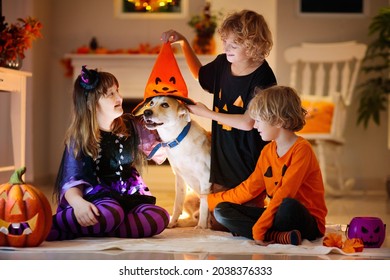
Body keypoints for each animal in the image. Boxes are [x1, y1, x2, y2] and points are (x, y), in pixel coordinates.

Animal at [136, 95, 210, 229]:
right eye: (151, 103)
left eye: (165, 105)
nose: (146, 112)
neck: (177, 139)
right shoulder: (180, 178)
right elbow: (177, 204)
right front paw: (171, 223)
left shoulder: (205, 178)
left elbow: (204, 204)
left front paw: (201, 227)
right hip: (189, 198)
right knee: (191, 216)